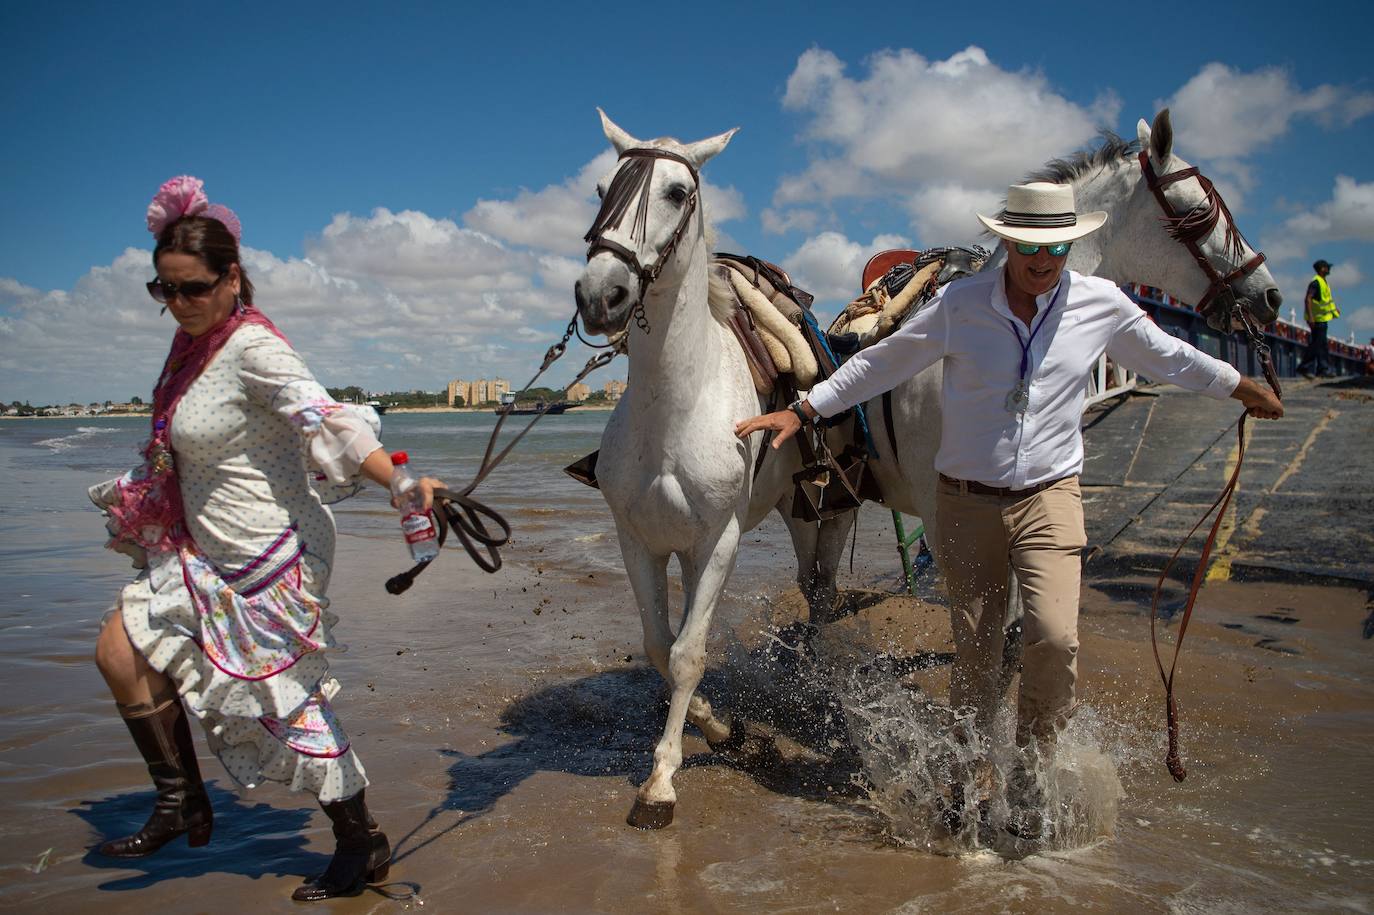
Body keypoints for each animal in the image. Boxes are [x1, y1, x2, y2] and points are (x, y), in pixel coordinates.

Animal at [571, 111, 813, 824]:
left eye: (678, 192)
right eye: (603, 189)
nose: (601, 294)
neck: (675, 406)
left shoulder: (718, 541)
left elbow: (688, 653)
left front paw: (661, 781)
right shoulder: (640, 540)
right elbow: (661, 644)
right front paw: (717, 725)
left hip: (812, 515)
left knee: (820, 585)